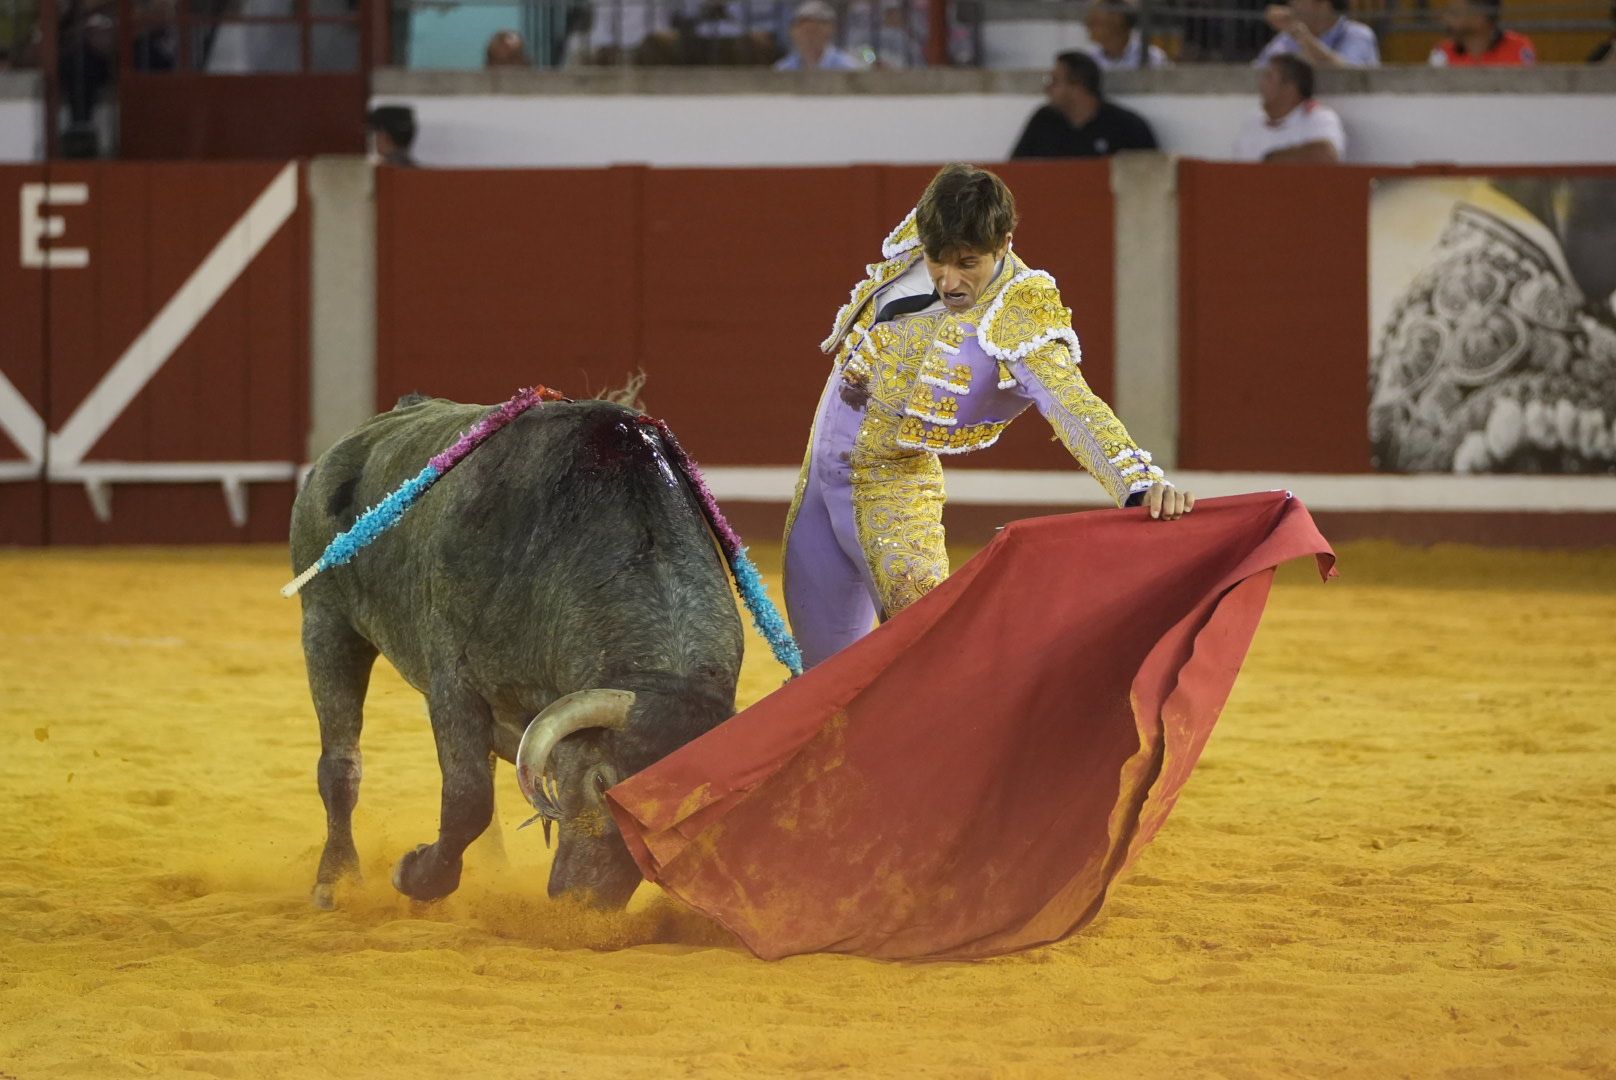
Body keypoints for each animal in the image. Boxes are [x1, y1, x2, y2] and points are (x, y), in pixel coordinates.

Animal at [292, 396, 743, 911]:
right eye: (602, 784)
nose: (586, 906)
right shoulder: (453, 682)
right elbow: (468, 799)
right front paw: (414, 874)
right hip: (326, 621)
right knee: (341, 764)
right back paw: (335, 879)